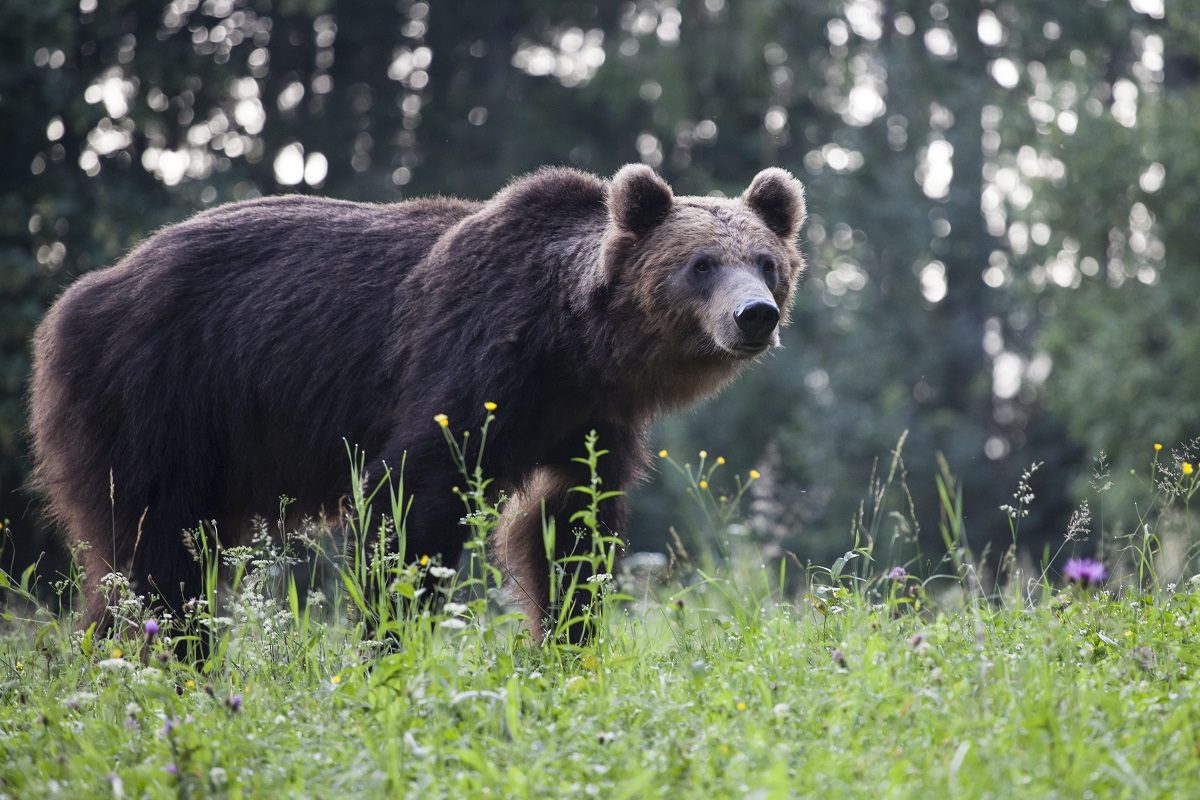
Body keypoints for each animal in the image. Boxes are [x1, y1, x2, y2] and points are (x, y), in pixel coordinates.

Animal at [28, 165, 806, 642]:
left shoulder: (588, 421)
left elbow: (570, 528)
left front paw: (566, 638)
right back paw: (168, 652)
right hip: (157, 393)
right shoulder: (473, 366)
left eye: (766, 261)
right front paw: (392, 638)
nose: (755, 315)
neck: (577, 344)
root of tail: (82, 292)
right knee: (155, 545)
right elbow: (411, 500)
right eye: (701, 264)